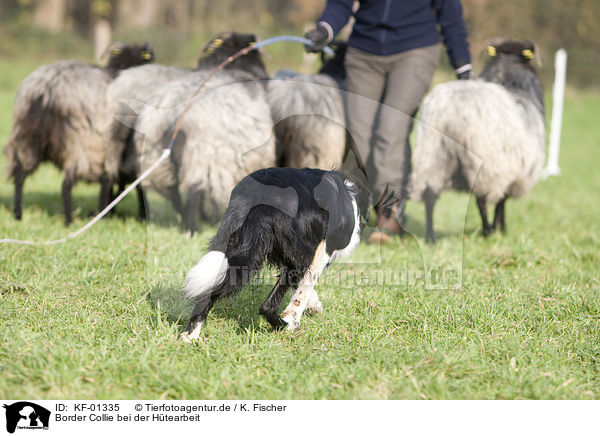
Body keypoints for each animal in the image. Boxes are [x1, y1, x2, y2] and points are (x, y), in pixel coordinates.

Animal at [4, 42, 155, 225]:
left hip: (28, 137)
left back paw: (18, 214)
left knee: (20, 175)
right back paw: (73, 220)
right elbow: (133, 184)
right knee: (68, 184)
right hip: (85, 144)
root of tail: (49, 88)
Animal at [182, 167, 370, 340]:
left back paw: (190, 336)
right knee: (267, 306)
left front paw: (313, 306)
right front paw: (295, 315)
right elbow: (304, 289)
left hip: (238, 248)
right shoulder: (320, 251)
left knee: (210, 290)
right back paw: (284, 326)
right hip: (294, 255)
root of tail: (258, 193)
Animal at [410, 39, 548, 244]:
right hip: (485, 162)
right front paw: (501, 228)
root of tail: (453, 111)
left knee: (429, 196)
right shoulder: (512, 170)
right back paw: (487, 231)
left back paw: (431, 238)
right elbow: (501, 201)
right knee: (481, 199)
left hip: (432, 153)